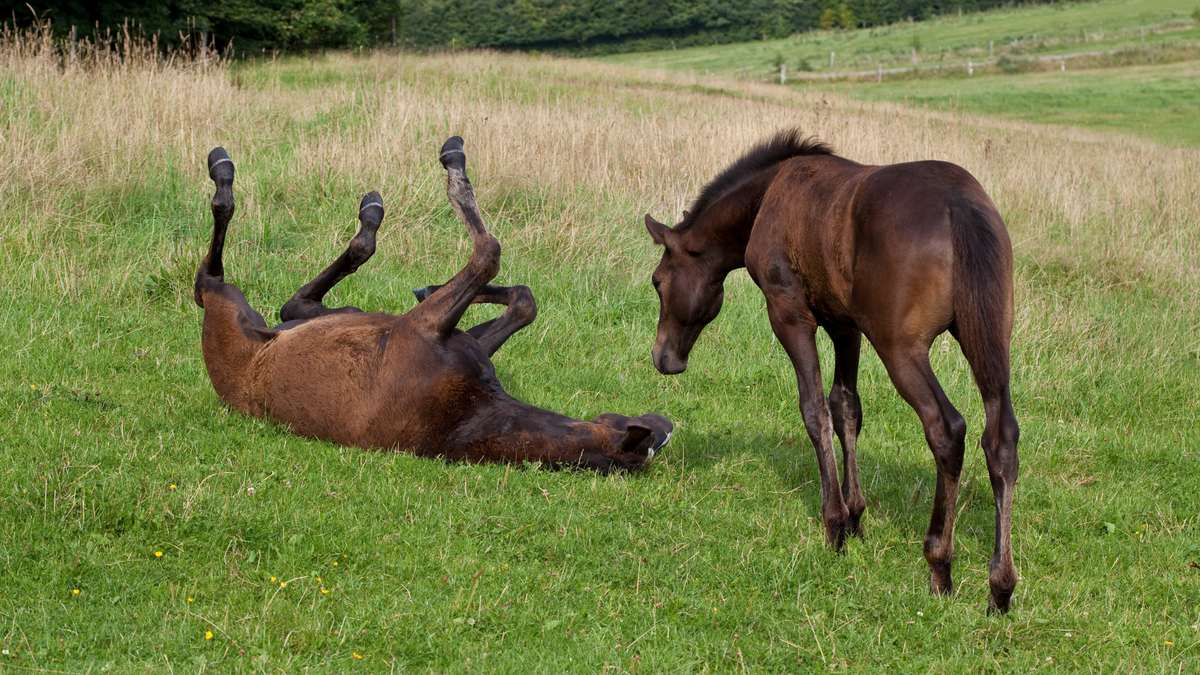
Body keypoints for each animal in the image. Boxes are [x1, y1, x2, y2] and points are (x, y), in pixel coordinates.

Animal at [193, 136, 672, 472]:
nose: (665, 422)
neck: (464, 417)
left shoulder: (421, 328)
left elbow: (489, 255)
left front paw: (454, 167)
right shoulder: (441, 331)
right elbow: (520, 295)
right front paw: (433, 281)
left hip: (229, 305)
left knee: (217, 281)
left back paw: (228, 174)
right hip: (334, 316)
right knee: (289, 302)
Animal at [643, 130, 1019, 613]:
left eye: (658, 280)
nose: (664, 358)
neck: (767, 196)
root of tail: (961, 206)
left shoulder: (789, 314)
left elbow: (815, 409)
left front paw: (836, 524)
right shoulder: (846, 326)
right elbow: (846, 408)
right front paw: (857, 515)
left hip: (901, 348)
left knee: (947, 428)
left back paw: (939, 563)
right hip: (988, 341)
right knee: (1001, 439)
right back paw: (1001, 586)